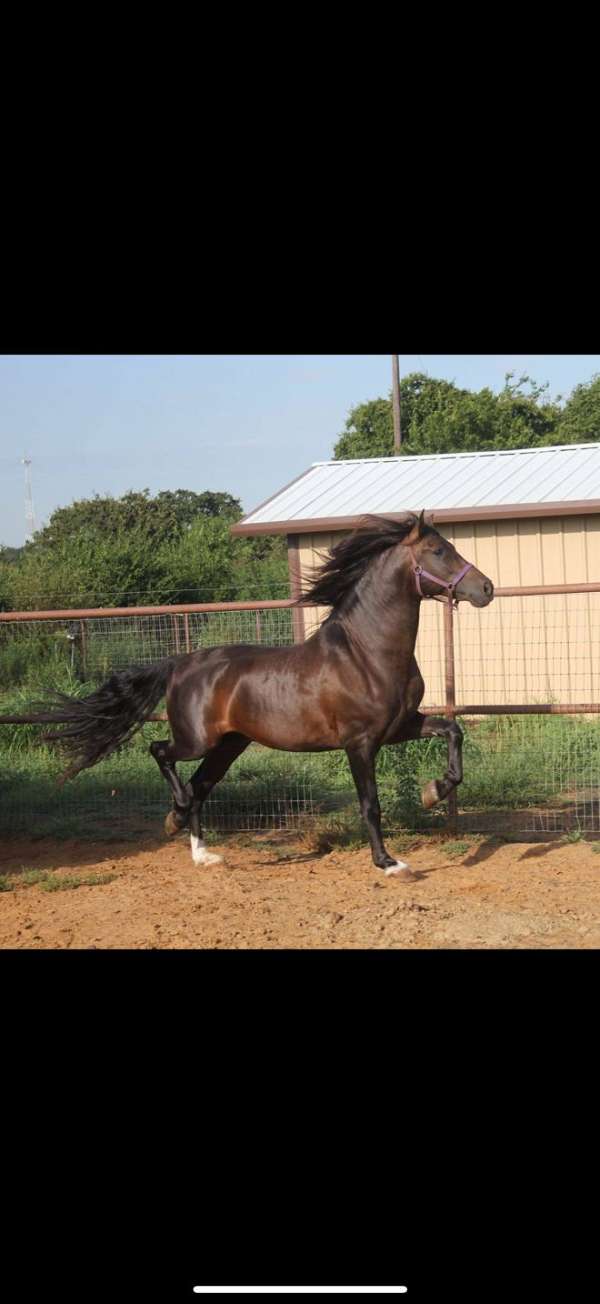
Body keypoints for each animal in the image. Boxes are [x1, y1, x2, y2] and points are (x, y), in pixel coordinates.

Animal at [1, 512, 493, 881]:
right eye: (439, 551)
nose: (485, 588)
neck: (366, 653)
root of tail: (179, 663)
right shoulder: (360, 742)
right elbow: (370, 805)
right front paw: (390, 863)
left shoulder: (401, 726)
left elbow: (454, 731)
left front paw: (433, 792)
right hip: (196, 739)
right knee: (161, 753)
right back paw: (175, 817)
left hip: (230, 745)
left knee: (199, 786)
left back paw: (202, 853)